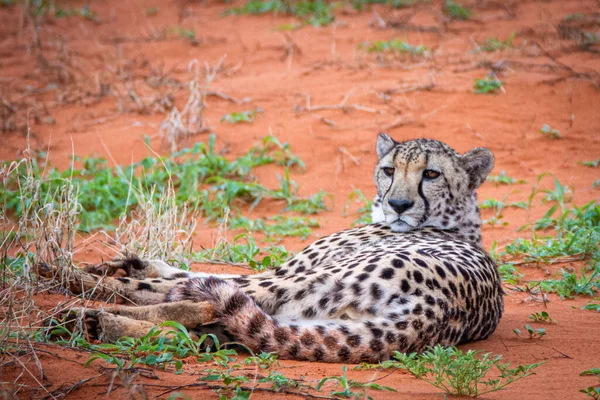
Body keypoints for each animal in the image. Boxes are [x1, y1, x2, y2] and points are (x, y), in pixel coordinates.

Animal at [42, 134, 502, 362]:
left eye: (431, 174)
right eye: (389, 170)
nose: (399, 204)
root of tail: (436, 313)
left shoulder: (286, 270)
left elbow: (191, 280)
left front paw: (84, 272)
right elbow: (187, 272)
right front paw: (127, 261)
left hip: (312, 281)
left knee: (200, 304)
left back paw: (79, 303)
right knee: (208, 332)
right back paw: (95, 323)